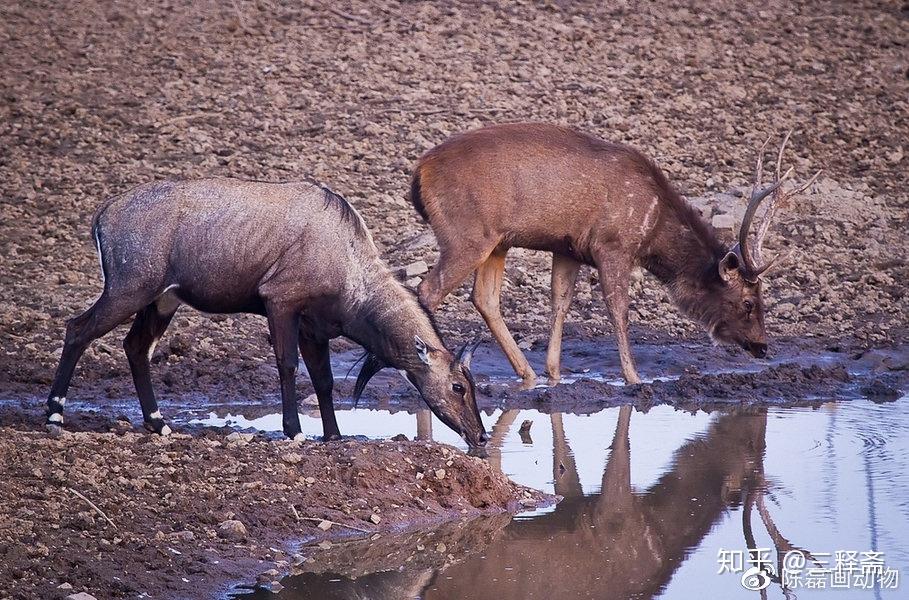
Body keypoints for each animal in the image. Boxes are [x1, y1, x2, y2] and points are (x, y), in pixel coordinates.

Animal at [48, 176, 490, 448]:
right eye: (458, 386)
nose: (481, 436)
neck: (348, 265)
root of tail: (104, 215)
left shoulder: (314, 327)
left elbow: (325, 380)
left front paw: (333, 435)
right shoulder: (280, 302)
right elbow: (287, 365)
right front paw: (294, 432)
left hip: (162, 299)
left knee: (136, 347)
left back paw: (160, 423)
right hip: (128, 289)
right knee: (77, 328)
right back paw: (54, 415)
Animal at [408, 123, 820, 384]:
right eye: (749, 302)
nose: (762, 346)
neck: (653, 229)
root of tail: (419, 173)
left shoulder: (569, 247)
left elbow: (560, 301)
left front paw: (554, 372)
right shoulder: (612, 245)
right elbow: (618, 309)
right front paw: (634, 376)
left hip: (497, 241)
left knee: (484, 298)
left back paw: (527, 373)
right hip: (466, 235)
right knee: (427, 290)